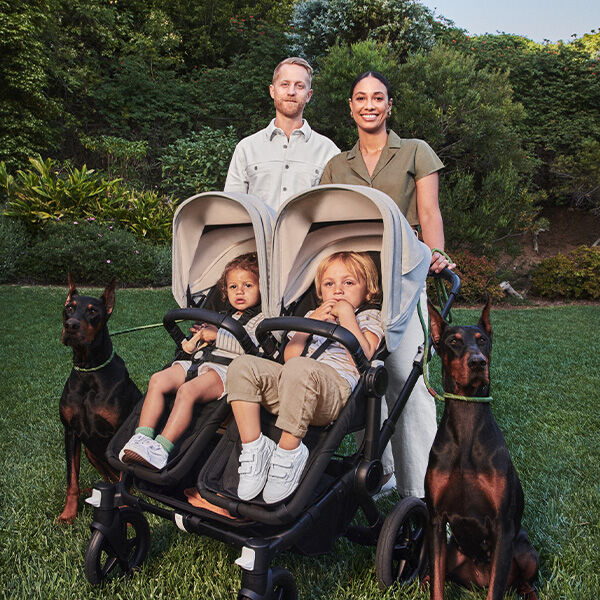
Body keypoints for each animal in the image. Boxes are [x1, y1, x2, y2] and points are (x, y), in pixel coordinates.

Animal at [56, 278, 141, 524]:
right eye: (69, 308)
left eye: (93, 311)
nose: (71, 326)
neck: (89, 371)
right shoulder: (70, 432)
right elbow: (71, 480)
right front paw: (68, 514)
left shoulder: (118, 434)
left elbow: (123, 481)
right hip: (89, 451)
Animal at [422, 300, 540, 600]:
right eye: (453, 341)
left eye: (483, 340)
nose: (477, 362)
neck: (467, 424)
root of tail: (478, 578)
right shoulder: (435, 521)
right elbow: (438, 585)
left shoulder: (503, 527)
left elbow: (496, 590)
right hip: (451, 551)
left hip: (523, 547)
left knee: (524, 580)